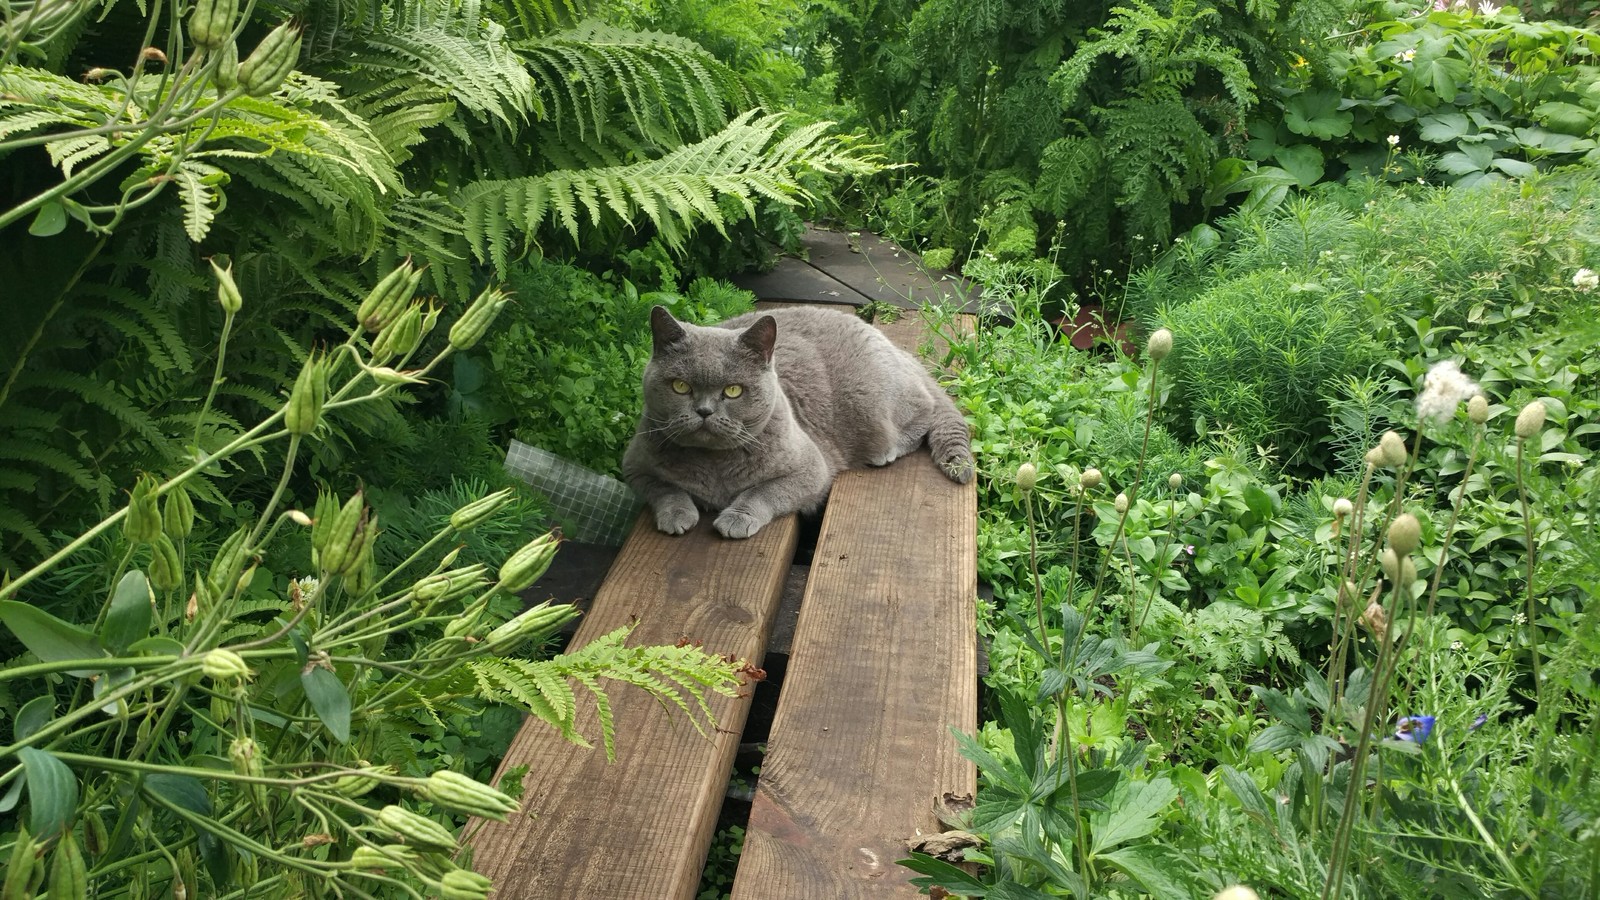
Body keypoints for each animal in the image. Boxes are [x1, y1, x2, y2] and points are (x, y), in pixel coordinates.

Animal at [620, 304, 972, 534]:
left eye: (733, 390)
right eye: (681, 386)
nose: (704, 411)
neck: (714, 465)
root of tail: (895, 347)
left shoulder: (812, 470)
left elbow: (764, 491)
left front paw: (737, 519)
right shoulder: (634, 466)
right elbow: (663, 488)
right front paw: (677, 515)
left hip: (872, 402)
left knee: (924, 412)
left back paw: (885, 453)